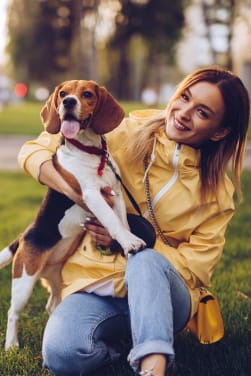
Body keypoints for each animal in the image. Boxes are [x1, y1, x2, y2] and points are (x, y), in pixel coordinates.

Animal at [0, 80, 145, 350]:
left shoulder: (116, 194)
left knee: (51, 305)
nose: (68, 102)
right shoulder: (92, 195)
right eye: (63, 93)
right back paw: (11, 345)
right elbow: (113, 222)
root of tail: (24, 236)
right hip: (24, 278)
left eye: (86, 94)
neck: (91, 152)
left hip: (56, 280)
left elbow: (122, 221)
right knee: (13, 312)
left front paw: (127, 242)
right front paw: (130, 242)